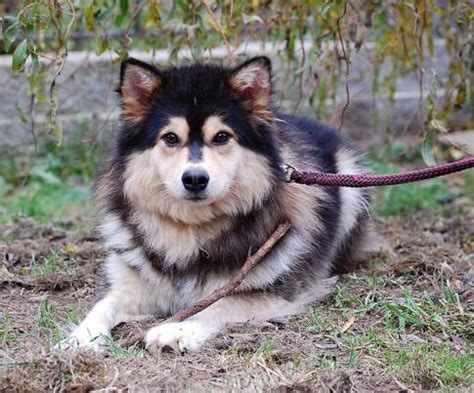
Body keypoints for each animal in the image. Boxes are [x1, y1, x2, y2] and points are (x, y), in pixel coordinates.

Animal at [63, 55, 372, 352]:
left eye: (221, 136)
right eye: (170, 138)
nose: (195, 179)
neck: (190, 228)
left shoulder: (271, 292)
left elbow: (214, 306)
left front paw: (176, 330)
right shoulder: (129, 284)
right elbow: (102, 306)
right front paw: (81, 337)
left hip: (349, 181)